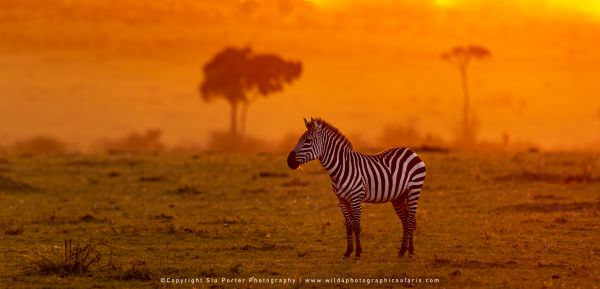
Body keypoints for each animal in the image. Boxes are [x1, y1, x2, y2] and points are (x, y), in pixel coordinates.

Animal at [288, 116, 424, 258]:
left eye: (308, 141)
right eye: (299, 140)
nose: (289, 161)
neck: (342, 168)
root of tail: (410, 151)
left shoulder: (356, 198)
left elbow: (357, 226)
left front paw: (358, 252)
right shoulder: (342, 200)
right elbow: (349, 226)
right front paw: (348, 251)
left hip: (414, 190)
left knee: (410, 221)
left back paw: (411, 251)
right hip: (398, 197)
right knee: (406, 221)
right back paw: (403, 251)